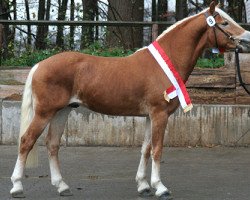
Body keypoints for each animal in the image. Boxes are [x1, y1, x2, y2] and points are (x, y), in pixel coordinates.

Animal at [9, 2, 250, 199]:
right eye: (225, 23)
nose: (247, 39)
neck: (166, 63)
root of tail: (40, 65)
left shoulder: (150, 116)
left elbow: (145, 148)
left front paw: (143, 186)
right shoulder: (160, 114)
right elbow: (157, 149)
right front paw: (160, 187)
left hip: (62, 111)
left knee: (52, 144)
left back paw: (62, 186)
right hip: (45, 113)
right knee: (26, 141)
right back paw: (17, 187)